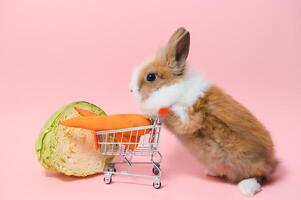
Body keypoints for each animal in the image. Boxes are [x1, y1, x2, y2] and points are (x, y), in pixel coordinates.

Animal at [129, 27, 276, 196]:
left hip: (249, 163)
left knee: (259, 177)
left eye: (151, 76)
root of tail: (272, 163)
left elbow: (175, 117)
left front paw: (152, 111)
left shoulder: (188, 116)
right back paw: (212, 172)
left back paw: (246, 188)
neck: (174, 87)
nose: (131, 90)